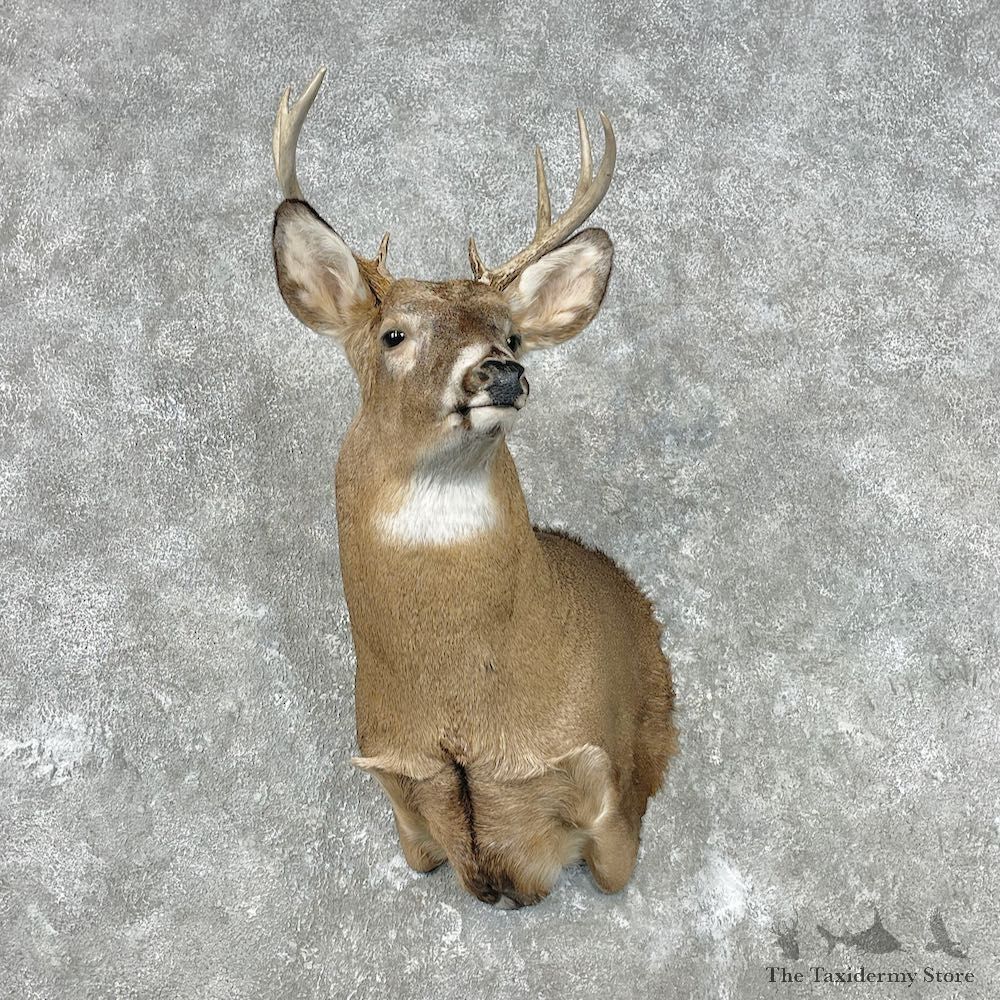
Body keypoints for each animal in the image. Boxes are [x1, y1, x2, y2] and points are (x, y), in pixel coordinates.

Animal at [270, 68, 677, 908]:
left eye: (513, 332)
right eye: (393, 334)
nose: (501, 371)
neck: (466, 711)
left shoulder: (612, 803)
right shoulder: (400, 801)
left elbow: (609, 848)